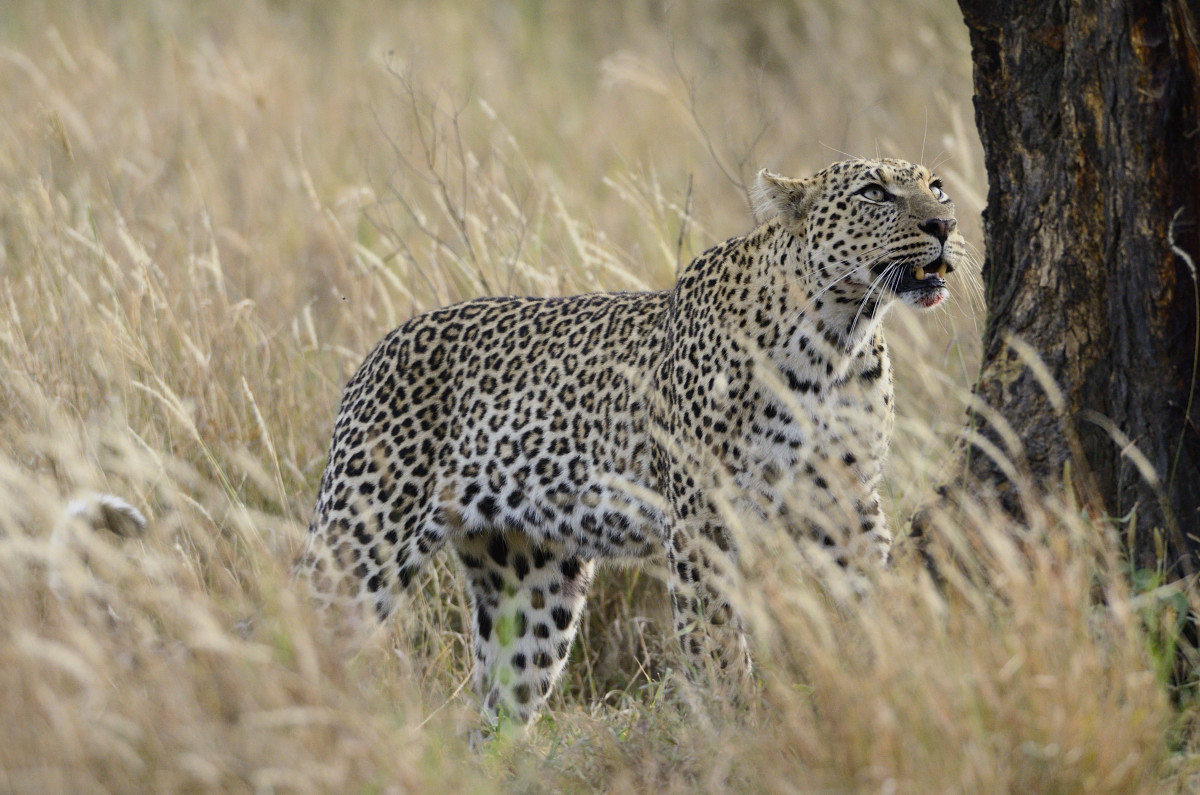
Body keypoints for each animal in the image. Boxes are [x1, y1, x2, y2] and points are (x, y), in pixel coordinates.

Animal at [297, 157, 966, 730]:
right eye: (874, 193)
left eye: (937, 187)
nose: (945, 224)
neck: (836, 337)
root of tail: (374, 353)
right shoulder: (702, 521)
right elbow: (716, 640)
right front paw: (740, 725)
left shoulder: (847, 500)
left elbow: (873, 589)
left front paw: (899, 663)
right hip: (364, 539)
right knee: (300, 634)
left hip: (530, 586)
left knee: (497, 713)